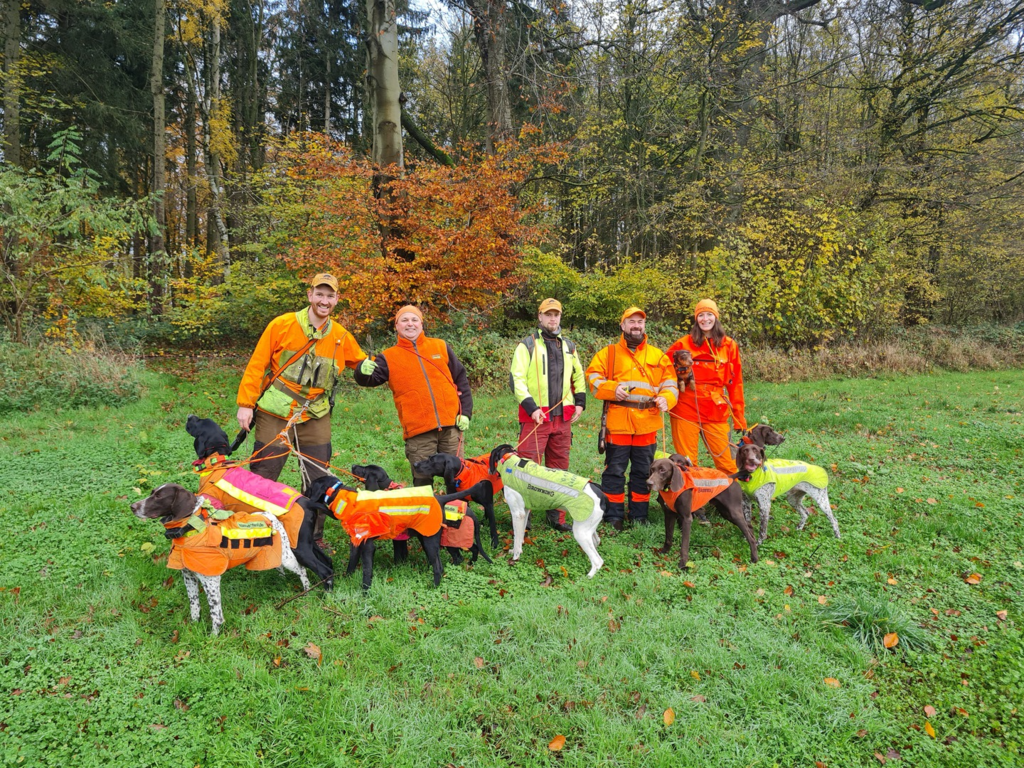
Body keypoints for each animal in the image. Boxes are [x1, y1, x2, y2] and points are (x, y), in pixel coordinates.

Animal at [132, 483, 309, 635]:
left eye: (159, 497)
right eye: (152, 493)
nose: (132, 507)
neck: (192, 529)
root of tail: (268, 515)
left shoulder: (211, 581)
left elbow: (216, 614)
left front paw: (213, 637)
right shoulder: (188, 577)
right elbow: (194, 606)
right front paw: (194, 626)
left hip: (287, 558)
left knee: (302, 570)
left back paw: (306, 592)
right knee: (278, 567)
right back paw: (280, 581)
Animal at [185, 416, 334, 588]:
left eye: (199, 422)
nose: (190, 417)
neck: (217, 462)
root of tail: (308, 502)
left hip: (299, 546)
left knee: (324, 570)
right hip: (305, 540)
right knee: (328, 561)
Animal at [487, 444, 606, 578]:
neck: (511, 461)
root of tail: (600, 493)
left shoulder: (518, 514)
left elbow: (517, 539)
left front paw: (515, 558)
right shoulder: (525, 512)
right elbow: (521, 534)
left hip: (580, 532)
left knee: (598, 561)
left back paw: (588, 577)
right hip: (588, 528)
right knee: (596, 542)